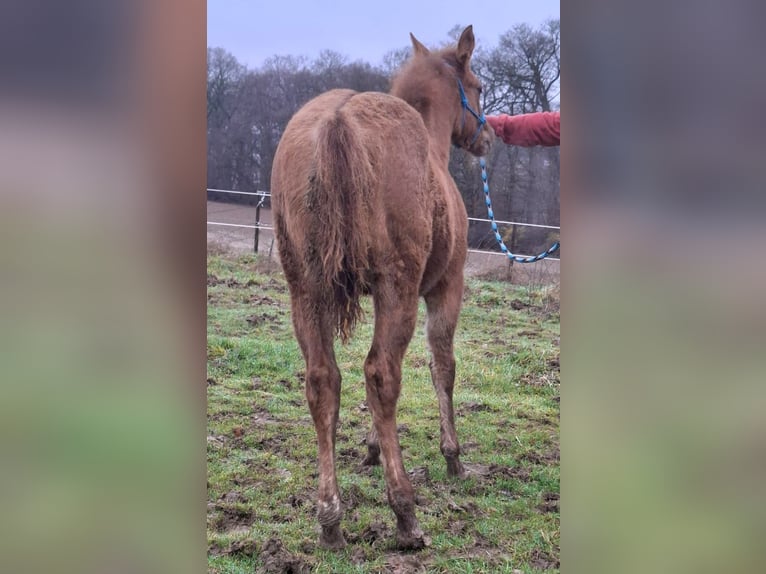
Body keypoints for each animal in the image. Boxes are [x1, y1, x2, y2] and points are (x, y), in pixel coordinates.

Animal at [270, 25, 492, 550]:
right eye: (478, 87)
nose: (489, 136)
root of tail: (337, 121)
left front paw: (371, 448)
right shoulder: (444, 288)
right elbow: (442, 367)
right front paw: (452, 455)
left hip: (305, 290)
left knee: (323, 381)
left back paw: (330, 519)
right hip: (398, 287)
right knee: (382, 375)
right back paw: (405, 513)